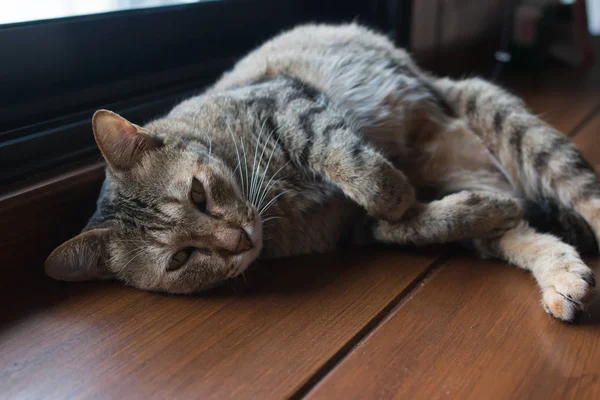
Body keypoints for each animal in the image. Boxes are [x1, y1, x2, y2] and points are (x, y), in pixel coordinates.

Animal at [45, 22, 596, 322]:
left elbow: (353, 164)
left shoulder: (294, 106)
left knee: (582, 193)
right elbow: (413, 225)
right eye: (180, 258)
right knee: (523, 231)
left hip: (501, 116)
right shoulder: (357, 229)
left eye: (198, 193)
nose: (240, 240)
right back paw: (557, 274)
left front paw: (393, 192)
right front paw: (426, 207)